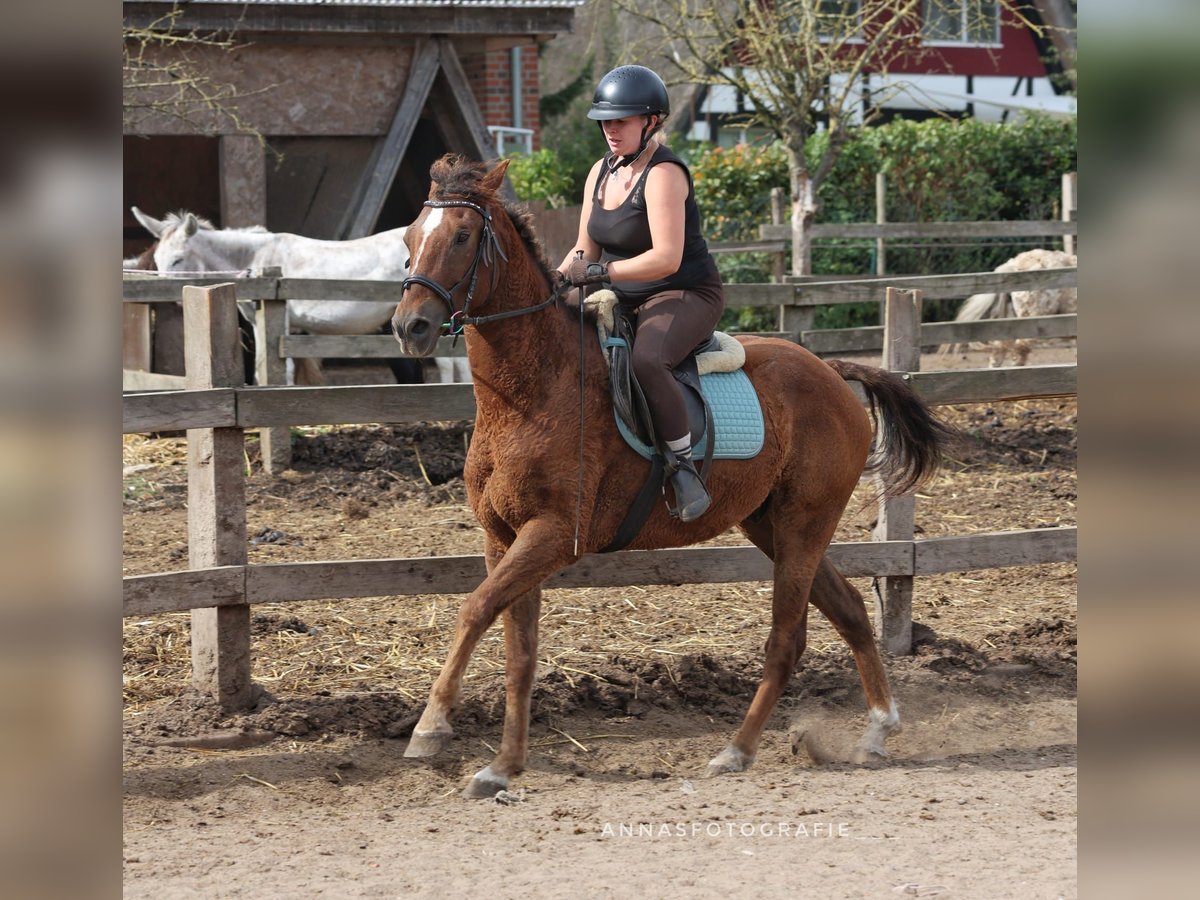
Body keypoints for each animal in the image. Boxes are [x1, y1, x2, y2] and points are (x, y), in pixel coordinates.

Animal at [129, 208, 470, 384]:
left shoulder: (276, 323)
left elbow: (278, 367)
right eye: (156, 260)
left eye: (177, 260)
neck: (255, 259)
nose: (163, 298)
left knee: (450, 363)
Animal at [393, 157, 955, 801]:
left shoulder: (553, 535)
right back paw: (877, 731)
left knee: (787, 640)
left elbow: (475, 609)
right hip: (774, 527)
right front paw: (502, 766)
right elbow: (519, 651)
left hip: (804, 524)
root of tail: (832, 371)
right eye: (409, 238)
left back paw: (735, 752)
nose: (410, 326)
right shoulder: (504, 537)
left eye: (462, 236)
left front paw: (432, 729)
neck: (529, 392)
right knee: (851, 611)